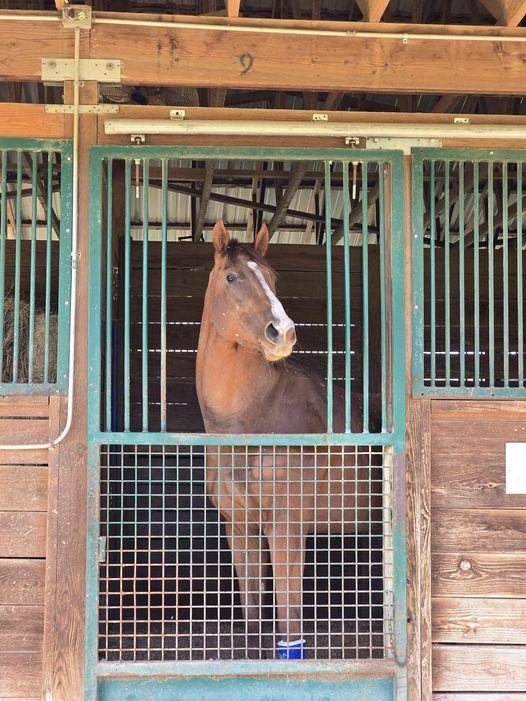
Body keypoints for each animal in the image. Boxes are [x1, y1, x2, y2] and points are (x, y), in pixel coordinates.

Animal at [196, 220, 374, 656]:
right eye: (232, 277)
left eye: (273, 277)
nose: (284, 332)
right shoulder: (240, 527)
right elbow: (253, 613)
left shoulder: (286, 524)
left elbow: (289, 614)